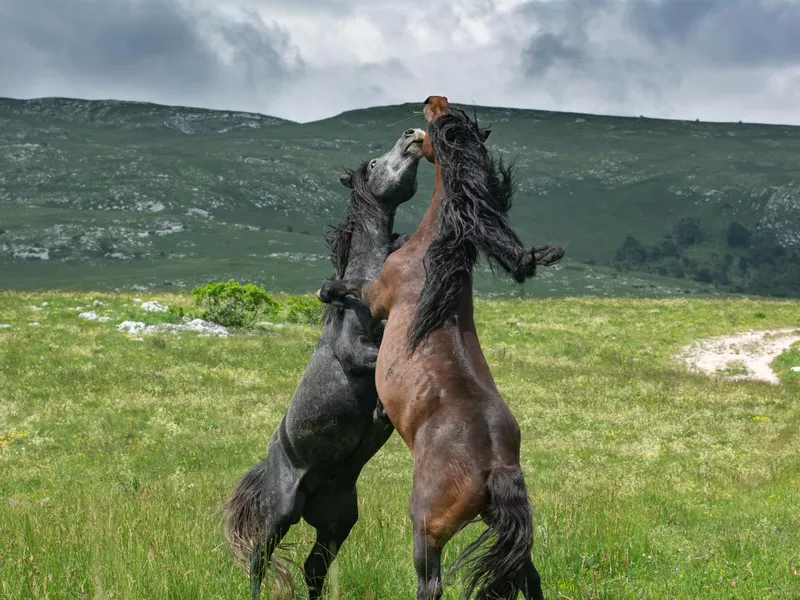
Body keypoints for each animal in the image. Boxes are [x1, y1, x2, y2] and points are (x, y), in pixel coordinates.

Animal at [222, 127, 428, 600]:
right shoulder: (354, 352)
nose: (412, 134)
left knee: (313, 568)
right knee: (259, 559)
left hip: (336, 523)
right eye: (374, 163)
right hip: (282, 512)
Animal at [318, 96, 564, 596]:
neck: (432, 257)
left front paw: (327, 289)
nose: (429, 106)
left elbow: (352, 286)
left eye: (436, 127)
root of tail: (497, 467)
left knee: (431, 583)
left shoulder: (378, 295)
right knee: (528, 576)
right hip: (497, 527)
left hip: (426, 527)